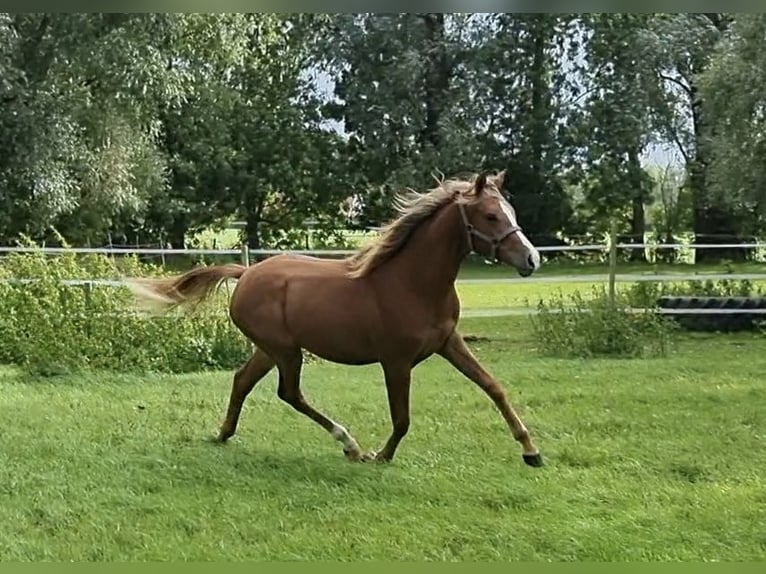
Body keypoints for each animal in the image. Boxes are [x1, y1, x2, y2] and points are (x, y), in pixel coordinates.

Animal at [130, 170, 544, 467]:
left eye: (511, 213)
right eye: (490, 215)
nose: (532, 259)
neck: (411, 283)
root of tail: (245, 273)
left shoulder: (448, 342)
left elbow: (493, 387)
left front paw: (531, 451)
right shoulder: (396, 361)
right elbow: (402, 418)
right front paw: (380, 456)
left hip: (270, 349)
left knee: (243, 380)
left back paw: (223, 434)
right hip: (285, 350)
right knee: (290, 393)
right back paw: (350, 445)